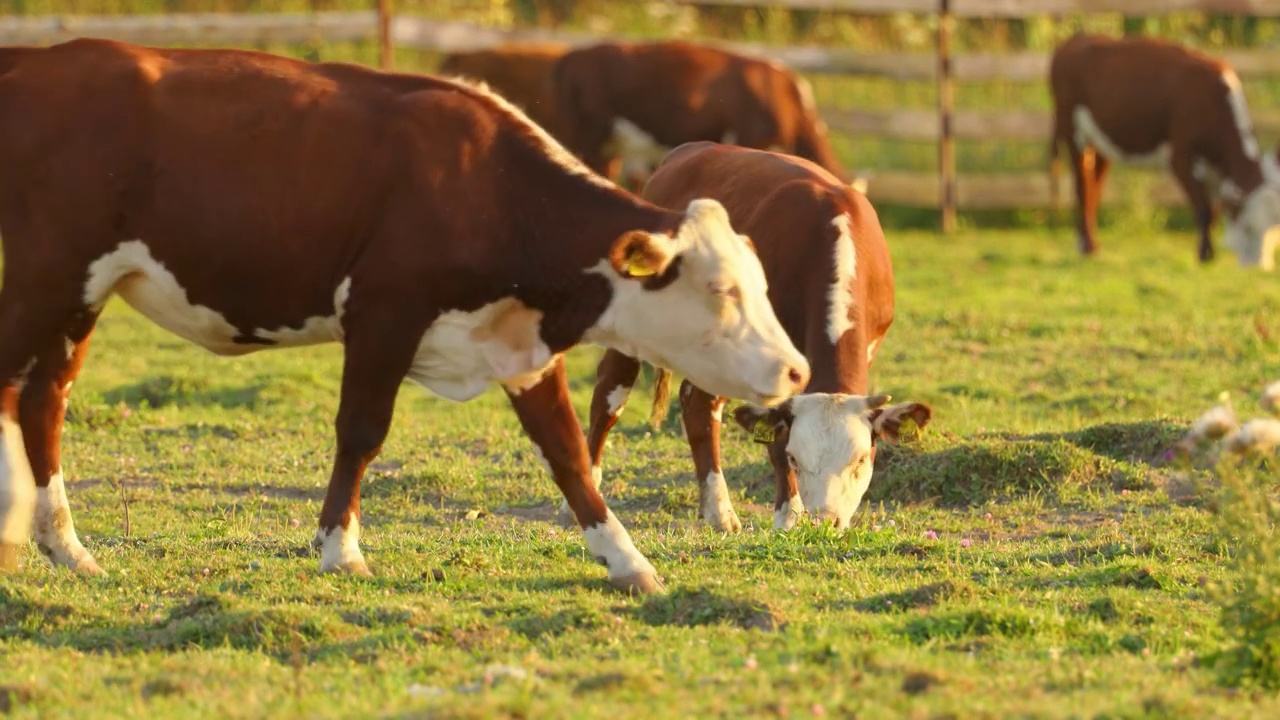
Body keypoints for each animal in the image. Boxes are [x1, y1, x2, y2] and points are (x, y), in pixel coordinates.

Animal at [570, 141, 931, 532]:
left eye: (861, 460)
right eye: (795, 459)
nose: (824, 521)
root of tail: (686, 152)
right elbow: (774, 441)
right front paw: (788, 514)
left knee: (697, 402)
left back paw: (716, 509)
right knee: (611, 393)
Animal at [1049, 33, 1280, 269]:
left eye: (1275, 229)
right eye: (1249, 226)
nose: (1261, 267)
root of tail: (1075, 39)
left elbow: (1213, 211)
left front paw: (1208, 252)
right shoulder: (1181, 158)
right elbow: (1204, 211)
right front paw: (1204, 255)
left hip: (1101, 141)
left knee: (1094, 186)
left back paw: (1089, 243)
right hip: (1073, 130)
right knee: (1082, 187)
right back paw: (1088, 246)